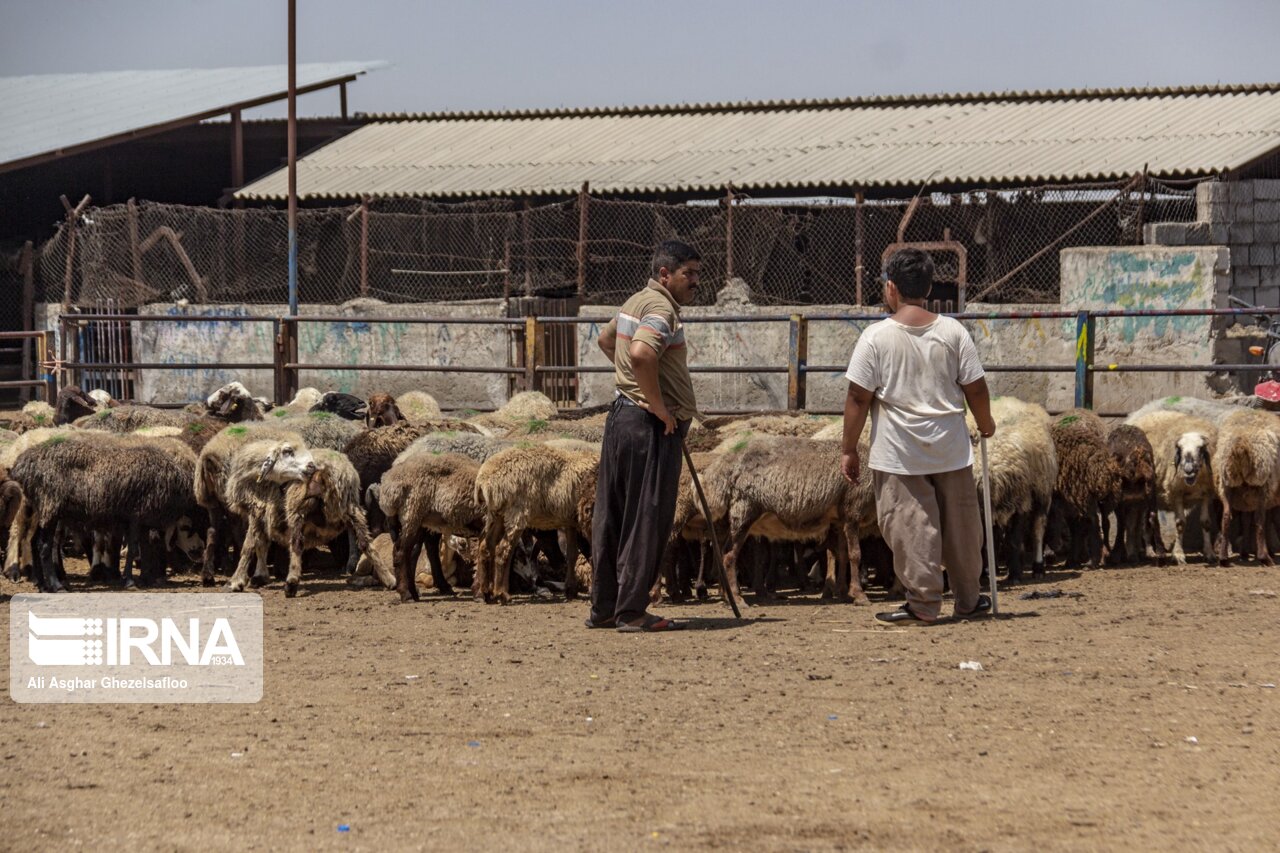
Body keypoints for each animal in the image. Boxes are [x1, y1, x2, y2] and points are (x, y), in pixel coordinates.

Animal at [378, 448, 483, 601]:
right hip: (412, 513)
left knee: (417, 551)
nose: (463, 544)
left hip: (424, 520)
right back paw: (406, 593)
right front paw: (480, 592)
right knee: (402, 552)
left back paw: (418, 591)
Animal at [473, 440, 596, 601]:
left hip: (497, 513)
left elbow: (572, 555)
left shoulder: (570, 521)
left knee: (486, 546)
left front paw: (571, 590)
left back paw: (485, 592)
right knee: (503, 549)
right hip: (516, 513)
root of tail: (483, 480)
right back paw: (501, 594)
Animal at [1100, 422, 1172, 563]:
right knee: (1152, 517)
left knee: (1120, 523)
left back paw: (1117, 553)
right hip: (1150, 491)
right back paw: (1159, 553)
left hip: (1122, 497)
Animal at [1131, 412, 1218, 563]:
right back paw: (1142, 551)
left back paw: (1148, 551)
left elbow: (1206, 522)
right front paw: (1178, 554)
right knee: (1140, 522)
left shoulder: (1206, 493)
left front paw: (1209, 553)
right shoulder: (1176, 493)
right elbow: (1180, 524)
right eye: (1180, 449)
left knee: (1145, 522)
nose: (1188, 470)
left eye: (1200, 449)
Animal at [1208, 407, 1280, 563]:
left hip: (1226, 484)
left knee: (1226, 516)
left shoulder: (1247, 498)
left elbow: (1247, 521)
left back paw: (1223, 558)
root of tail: (1239, 446)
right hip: (1262, 483)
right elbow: (1271, 520)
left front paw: (1245, 552)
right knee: (1259, 519)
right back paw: (1264, 557)